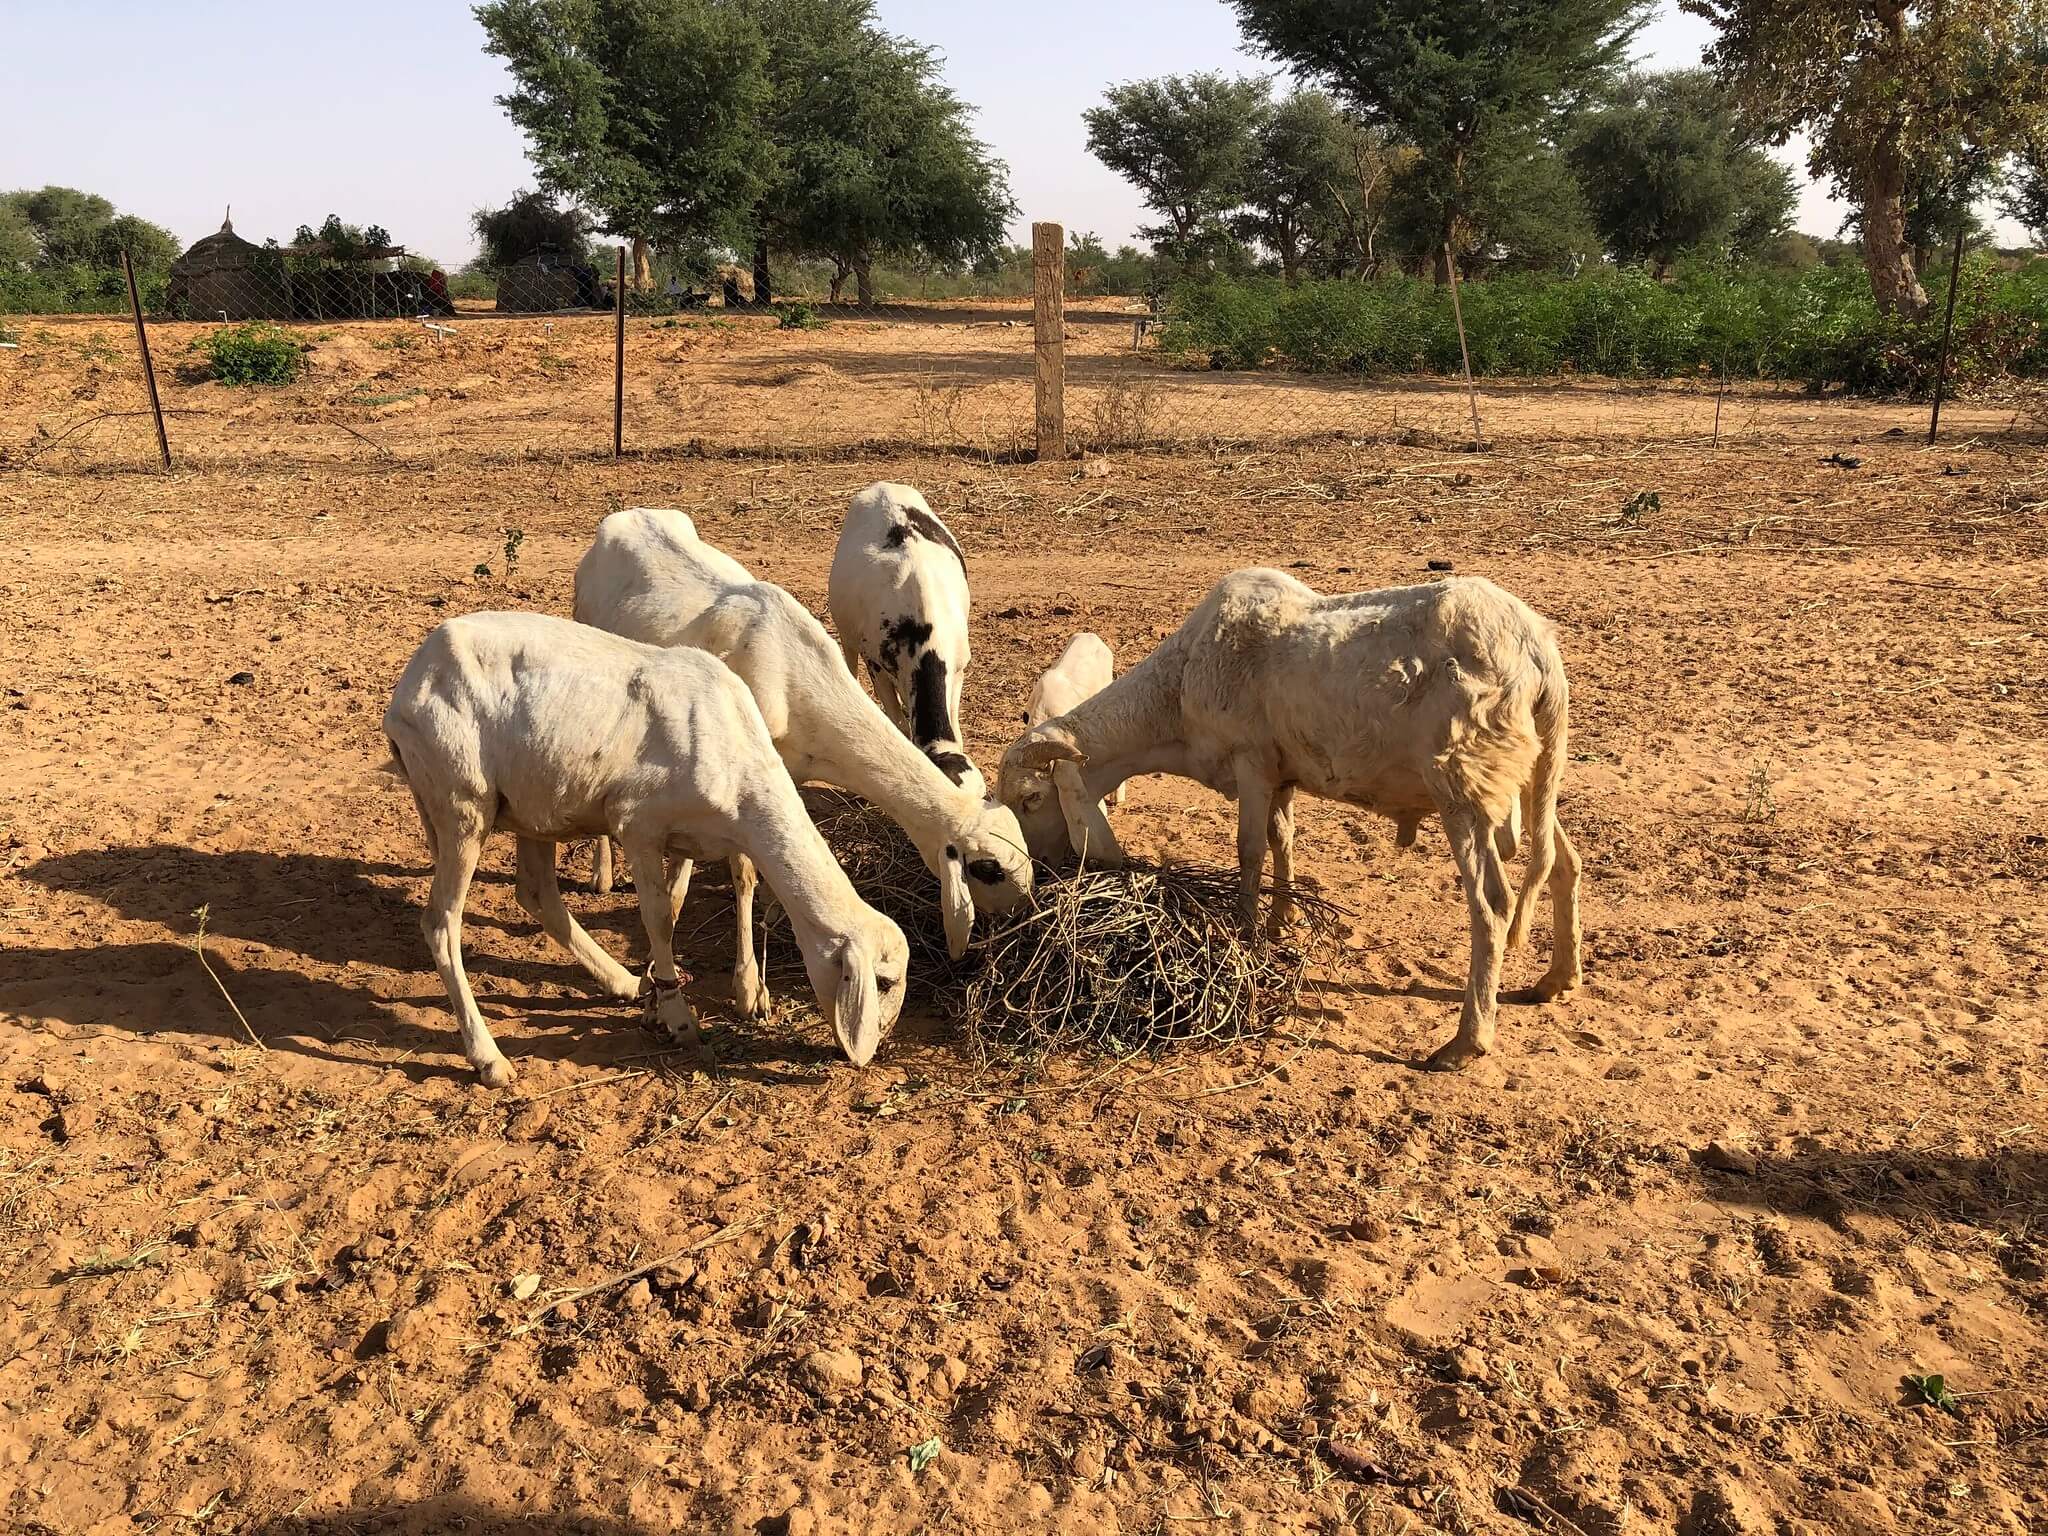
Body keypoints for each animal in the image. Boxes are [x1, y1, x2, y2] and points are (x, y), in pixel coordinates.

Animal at [382, 606, 905, 1089]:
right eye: (883, 981)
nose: (871, 1052)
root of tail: (410, 684)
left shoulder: (691, 833)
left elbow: (690, 898)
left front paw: (658, 997)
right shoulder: (638, 826)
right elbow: (658, 919)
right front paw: (677, 1016)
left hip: (532, 804)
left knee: (537, 894)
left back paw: (621, 981)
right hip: (461, 802)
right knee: (442, 924)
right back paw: (488, 1057)